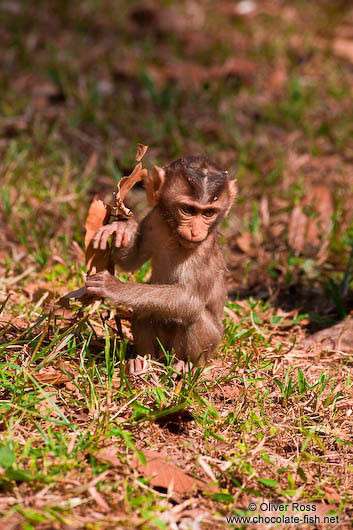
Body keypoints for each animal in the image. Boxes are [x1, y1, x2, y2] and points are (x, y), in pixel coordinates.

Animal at [84, 157, 236, 372]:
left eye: (208, 213)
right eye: (188, 210)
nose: (196, 231)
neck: (174, 235)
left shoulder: (204, 249)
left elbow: (191, 300)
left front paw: (113, 286)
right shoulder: (154, 219)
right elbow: (133, 262)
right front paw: (122, 229)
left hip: (211, 342)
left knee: (196, 316)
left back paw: (188, 365)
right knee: (144, 307)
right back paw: (142, 360)